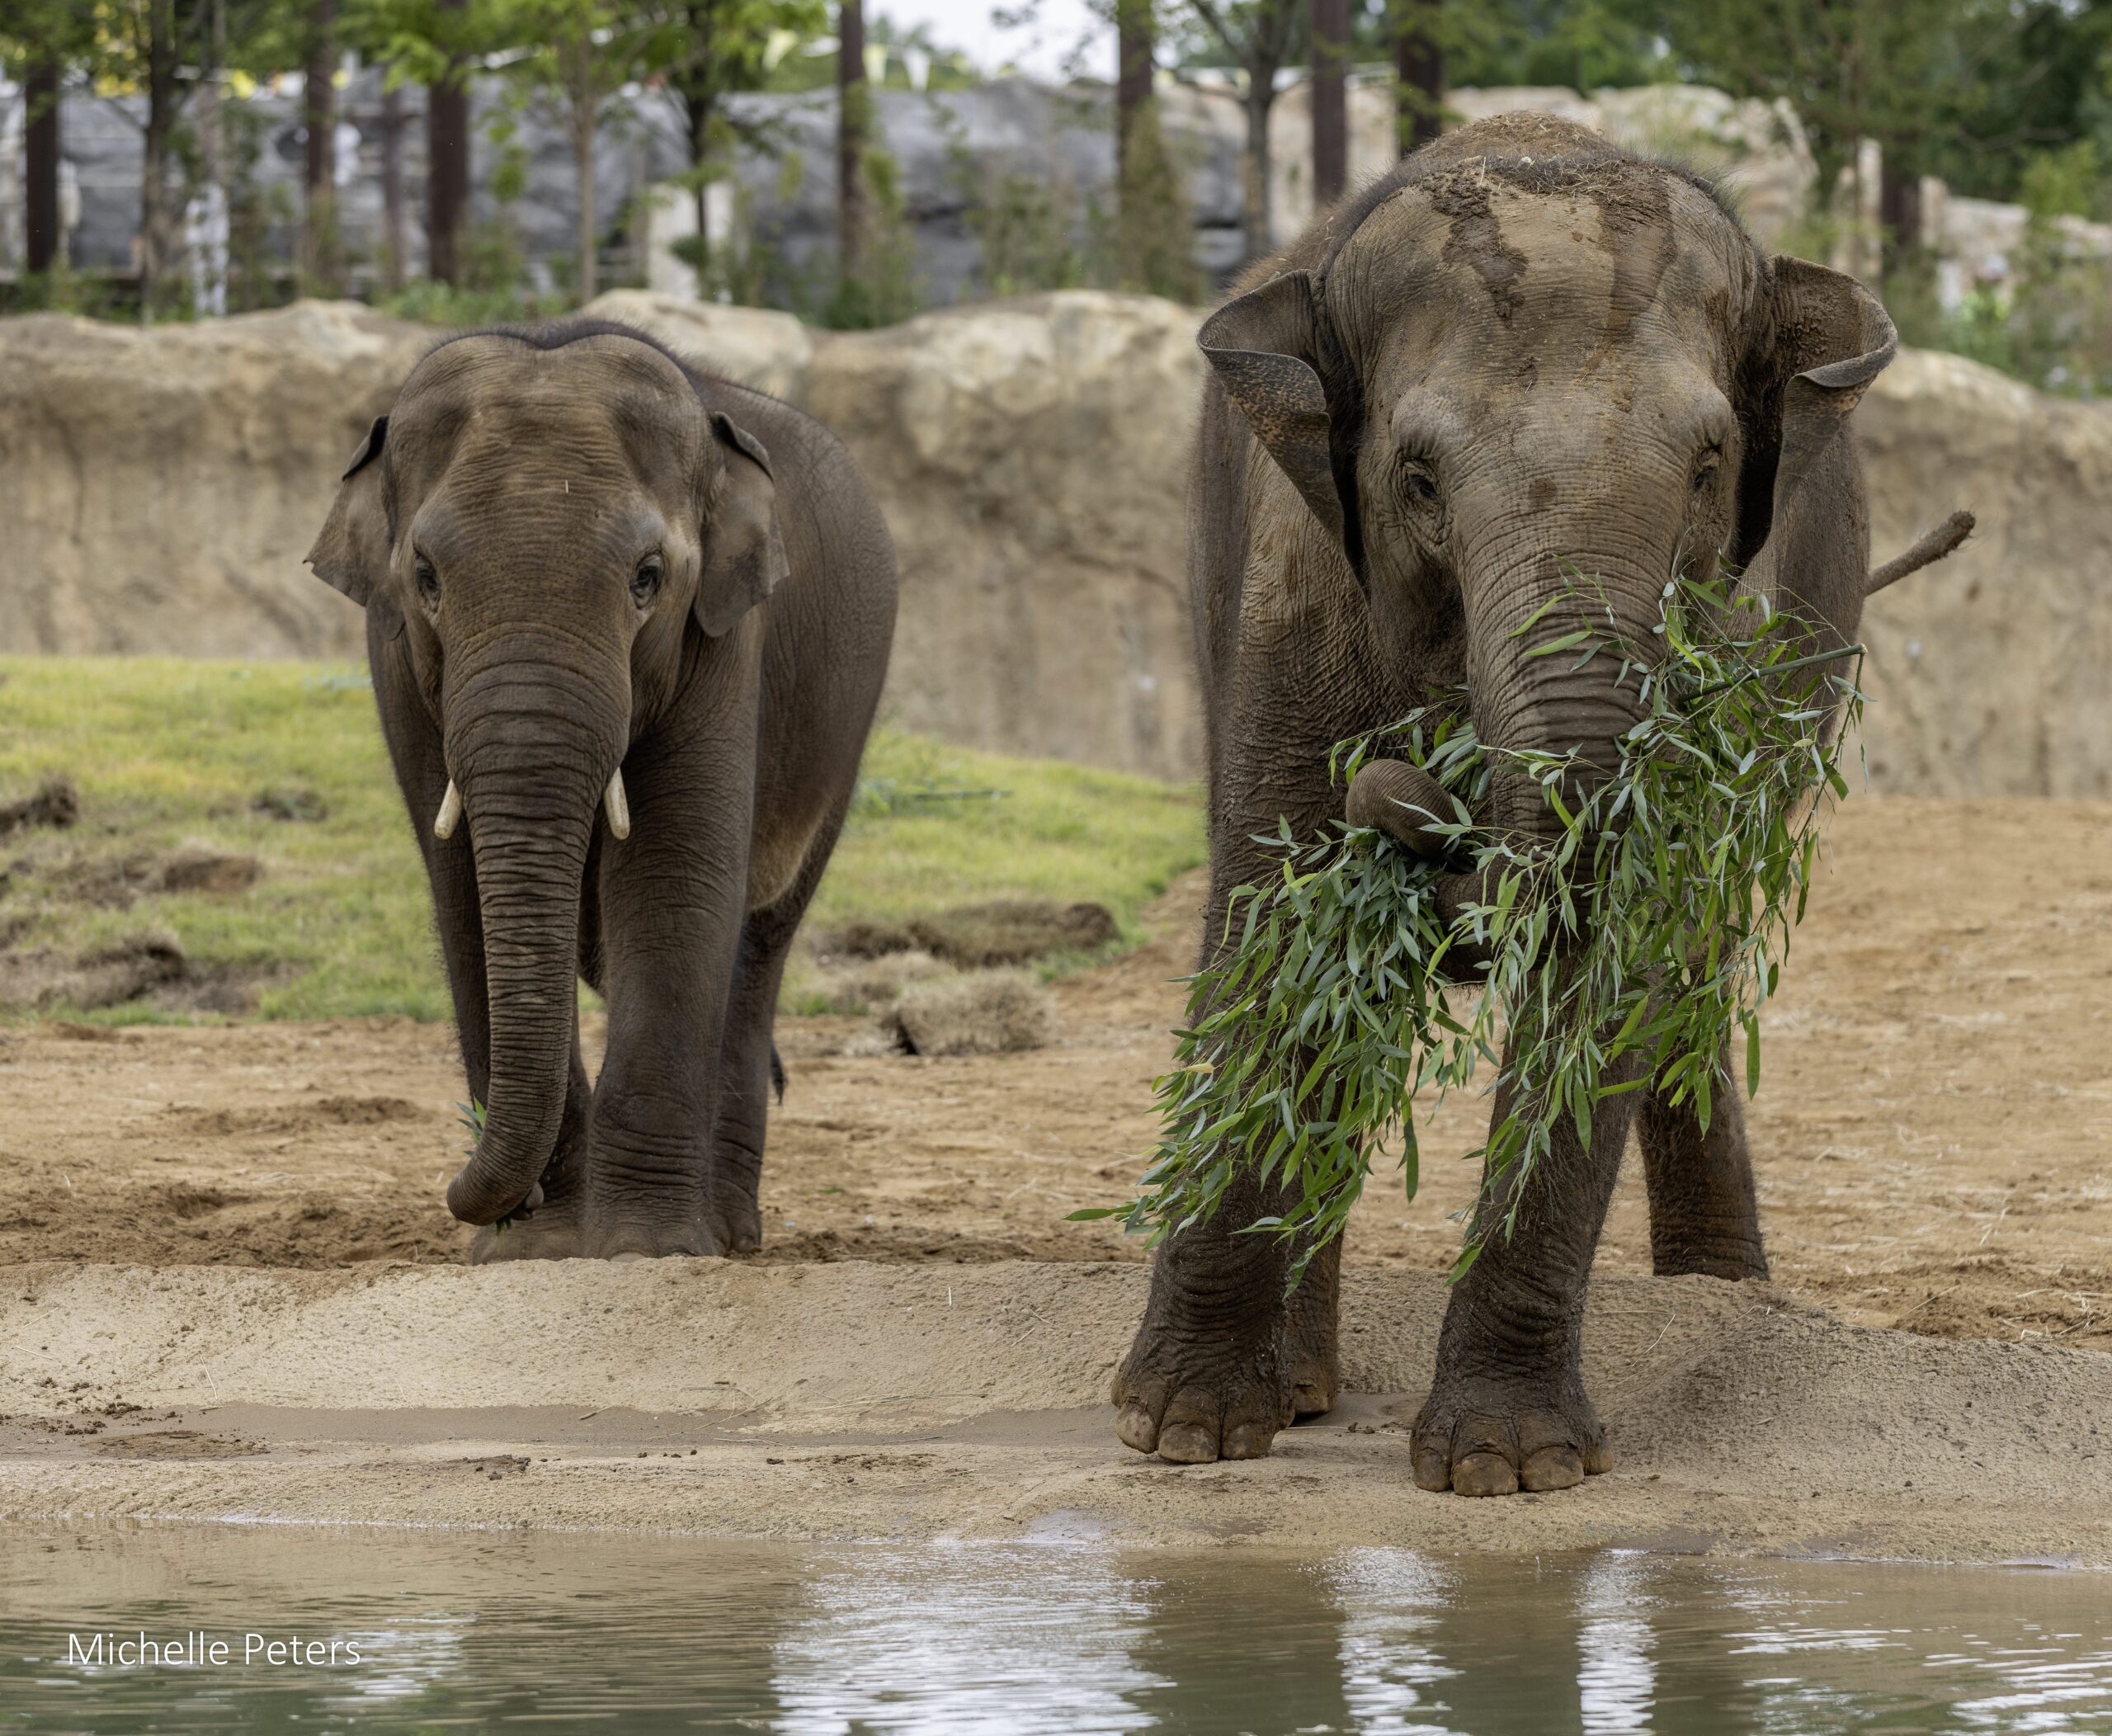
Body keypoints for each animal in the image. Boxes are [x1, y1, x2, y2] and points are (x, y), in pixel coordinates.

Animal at [306, 320, 896, 1260]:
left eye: (647, 578)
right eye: (426, 578)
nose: (470, 1199)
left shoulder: (724, 641)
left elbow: (669, 879)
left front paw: (643, 1249)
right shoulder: (394, 659)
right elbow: (461, 890)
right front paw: (534, 1250)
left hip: (843, 732)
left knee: (758, 950)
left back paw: (728, 1233)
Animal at [1113, 114, 1968, 1491]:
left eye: (1710, 466)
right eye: (1416, 479)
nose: (1418, 795)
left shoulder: (1728, 635)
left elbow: (1618, 941)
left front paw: (1506, 1470)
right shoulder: (1296, 587)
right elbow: (1275, 911)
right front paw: (1182, 1432)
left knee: (1694, 964)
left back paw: (1721, 1302)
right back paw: (1301, 1392)